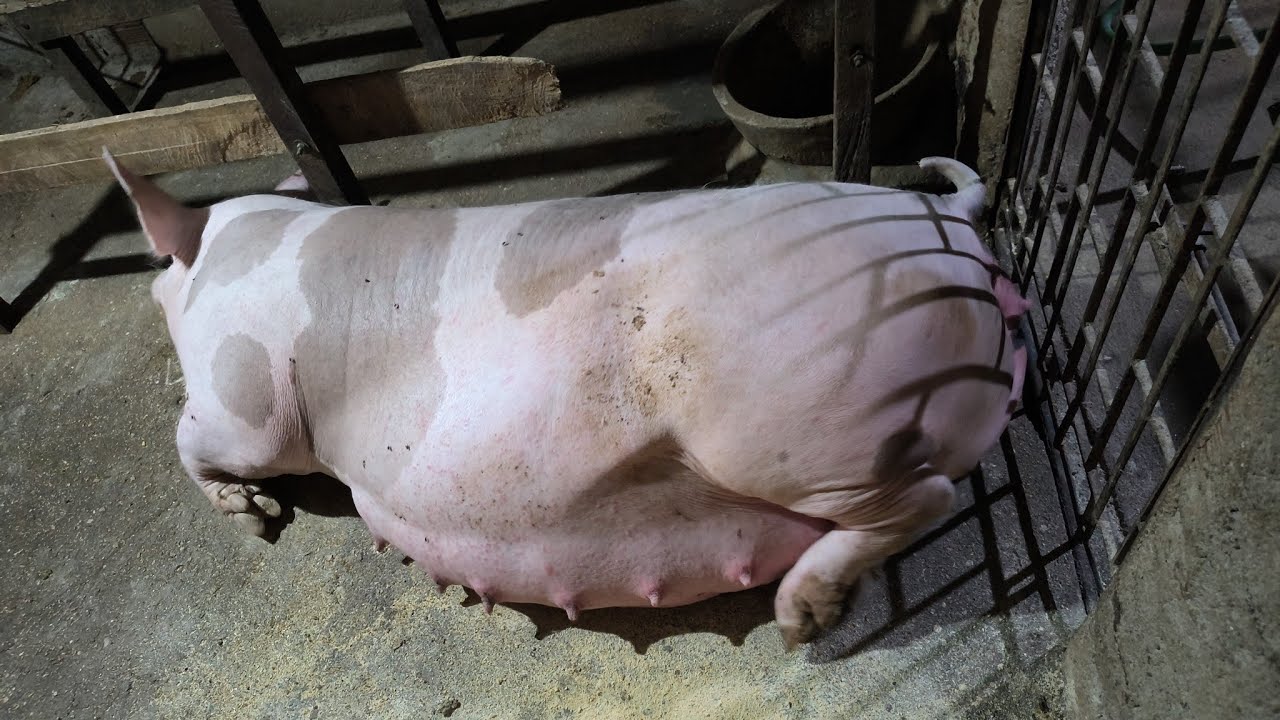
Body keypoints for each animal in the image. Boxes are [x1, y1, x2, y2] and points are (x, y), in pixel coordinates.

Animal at [104, 149, 1028, 648]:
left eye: (155, 281)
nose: (149, 294)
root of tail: (944, 215)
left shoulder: (250, 404)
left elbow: (192, 441)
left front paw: (255, 519)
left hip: (788, 427)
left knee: (925, 497)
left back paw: (801, 621)